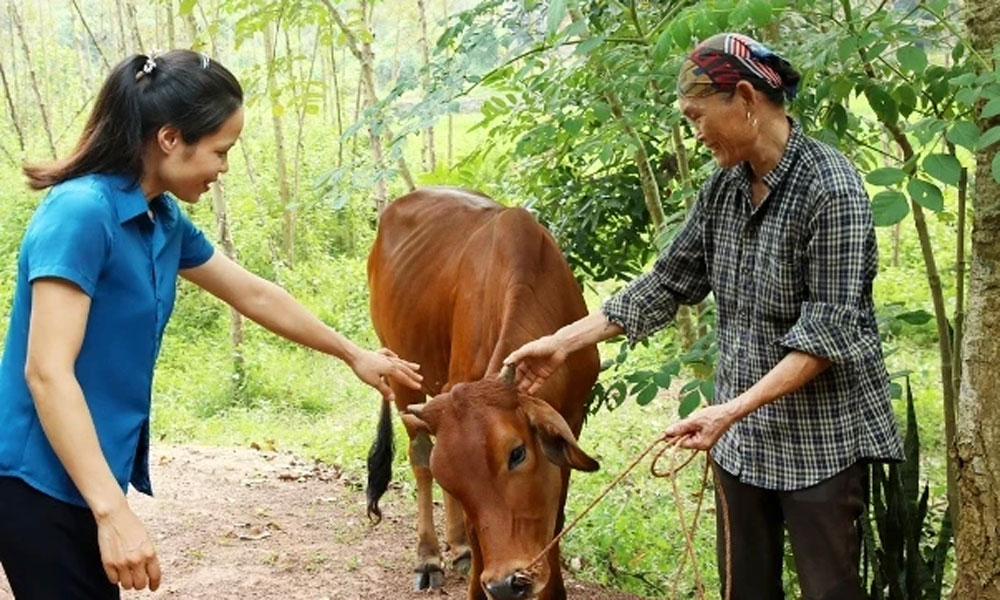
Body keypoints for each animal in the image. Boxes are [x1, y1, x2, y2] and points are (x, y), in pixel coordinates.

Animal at [370, 188, 596, 600]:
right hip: (402, 373)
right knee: (420, 457)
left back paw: (458, 549)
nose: (505, 584)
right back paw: (429, 557)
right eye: (452, 478)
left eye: (517, 453)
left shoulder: (573, 417)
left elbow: (555, 517)